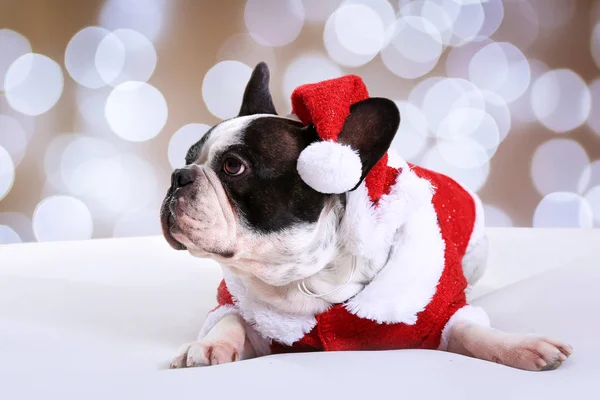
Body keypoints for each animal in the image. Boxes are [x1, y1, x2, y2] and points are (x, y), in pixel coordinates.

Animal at [162, 62, 576, 372]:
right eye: (188, 158)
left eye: (234, 166)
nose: (178, 176)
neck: (307, 276)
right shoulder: (254, 315)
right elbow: (231, 318)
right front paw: (209, 344)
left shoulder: (441, 315)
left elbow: (471, 330)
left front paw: (520, 346)